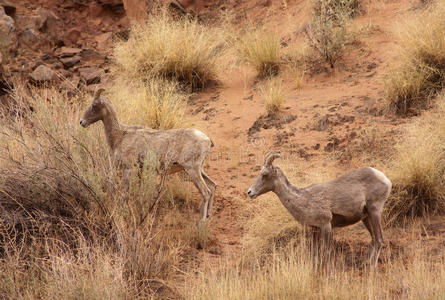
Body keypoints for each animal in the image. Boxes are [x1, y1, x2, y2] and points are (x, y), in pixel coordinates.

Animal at [82, 89, 219, 220]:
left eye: (94, 105)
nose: (82, 122)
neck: (120, 136)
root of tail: (207, 140)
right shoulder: (140, 171)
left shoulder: (128, 169)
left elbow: (125, 195)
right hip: (198, 169)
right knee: (213, 186)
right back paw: (208, 215)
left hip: (192, 170)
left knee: (206, 192)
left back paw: (201, 222)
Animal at [246, 151, 392, 266]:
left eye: (264, 174)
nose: (250, 192)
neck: (303, 199)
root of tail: (385, 179)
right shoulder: (314, 230)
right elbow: (314, 254)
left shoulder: (326, 225)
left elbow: (326, 252)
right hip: (366, 217)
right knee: (374, 239)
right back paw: (365, 264)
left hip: (374, 211)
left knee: (379, 239)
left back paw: (372, 267)